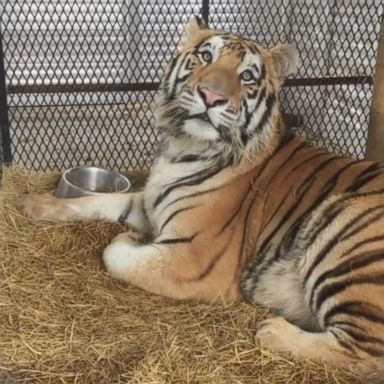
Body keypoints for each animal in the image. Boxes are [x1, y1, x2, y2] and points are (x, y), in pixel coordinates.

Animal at [17, 16, 384, 374]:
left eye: (247, 76)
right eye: (206, 57)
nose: (211, 96)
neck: (183, 148)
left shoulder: (193, 258)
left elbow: (116, 256)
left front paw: (130, 238)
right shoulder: (149, 201)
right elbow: (94, 201)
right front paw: (35, 204)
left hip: (347, 229)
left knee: (366, 355)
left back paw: (273, 331)